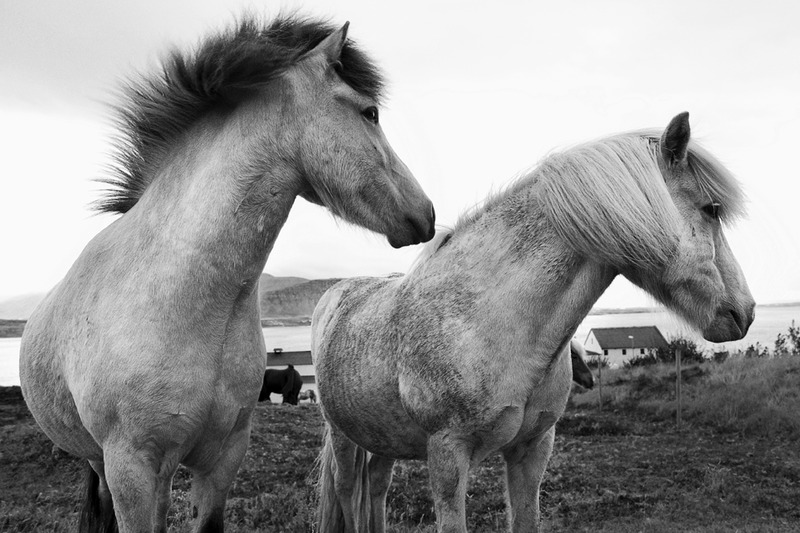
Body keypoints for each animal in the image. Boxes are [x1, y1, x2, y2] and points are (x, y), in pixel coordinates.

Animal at [18, 15, 435, 533]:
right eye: (370, 112)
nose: (427, 214)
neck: (183, 301)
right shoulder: (130, 467)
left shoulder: (222, 459)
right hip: (103, 462)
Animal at [312, 112, 754, 533]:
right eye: (711, 209)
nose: (745, 312)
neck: (491, 323)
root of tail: (334, 295)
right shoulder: (446, 453)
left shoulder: (532, 449)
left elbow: (527, 519)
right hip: (342, 434)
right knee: (348, 492)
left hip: (381, 437)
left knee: (377, 488)